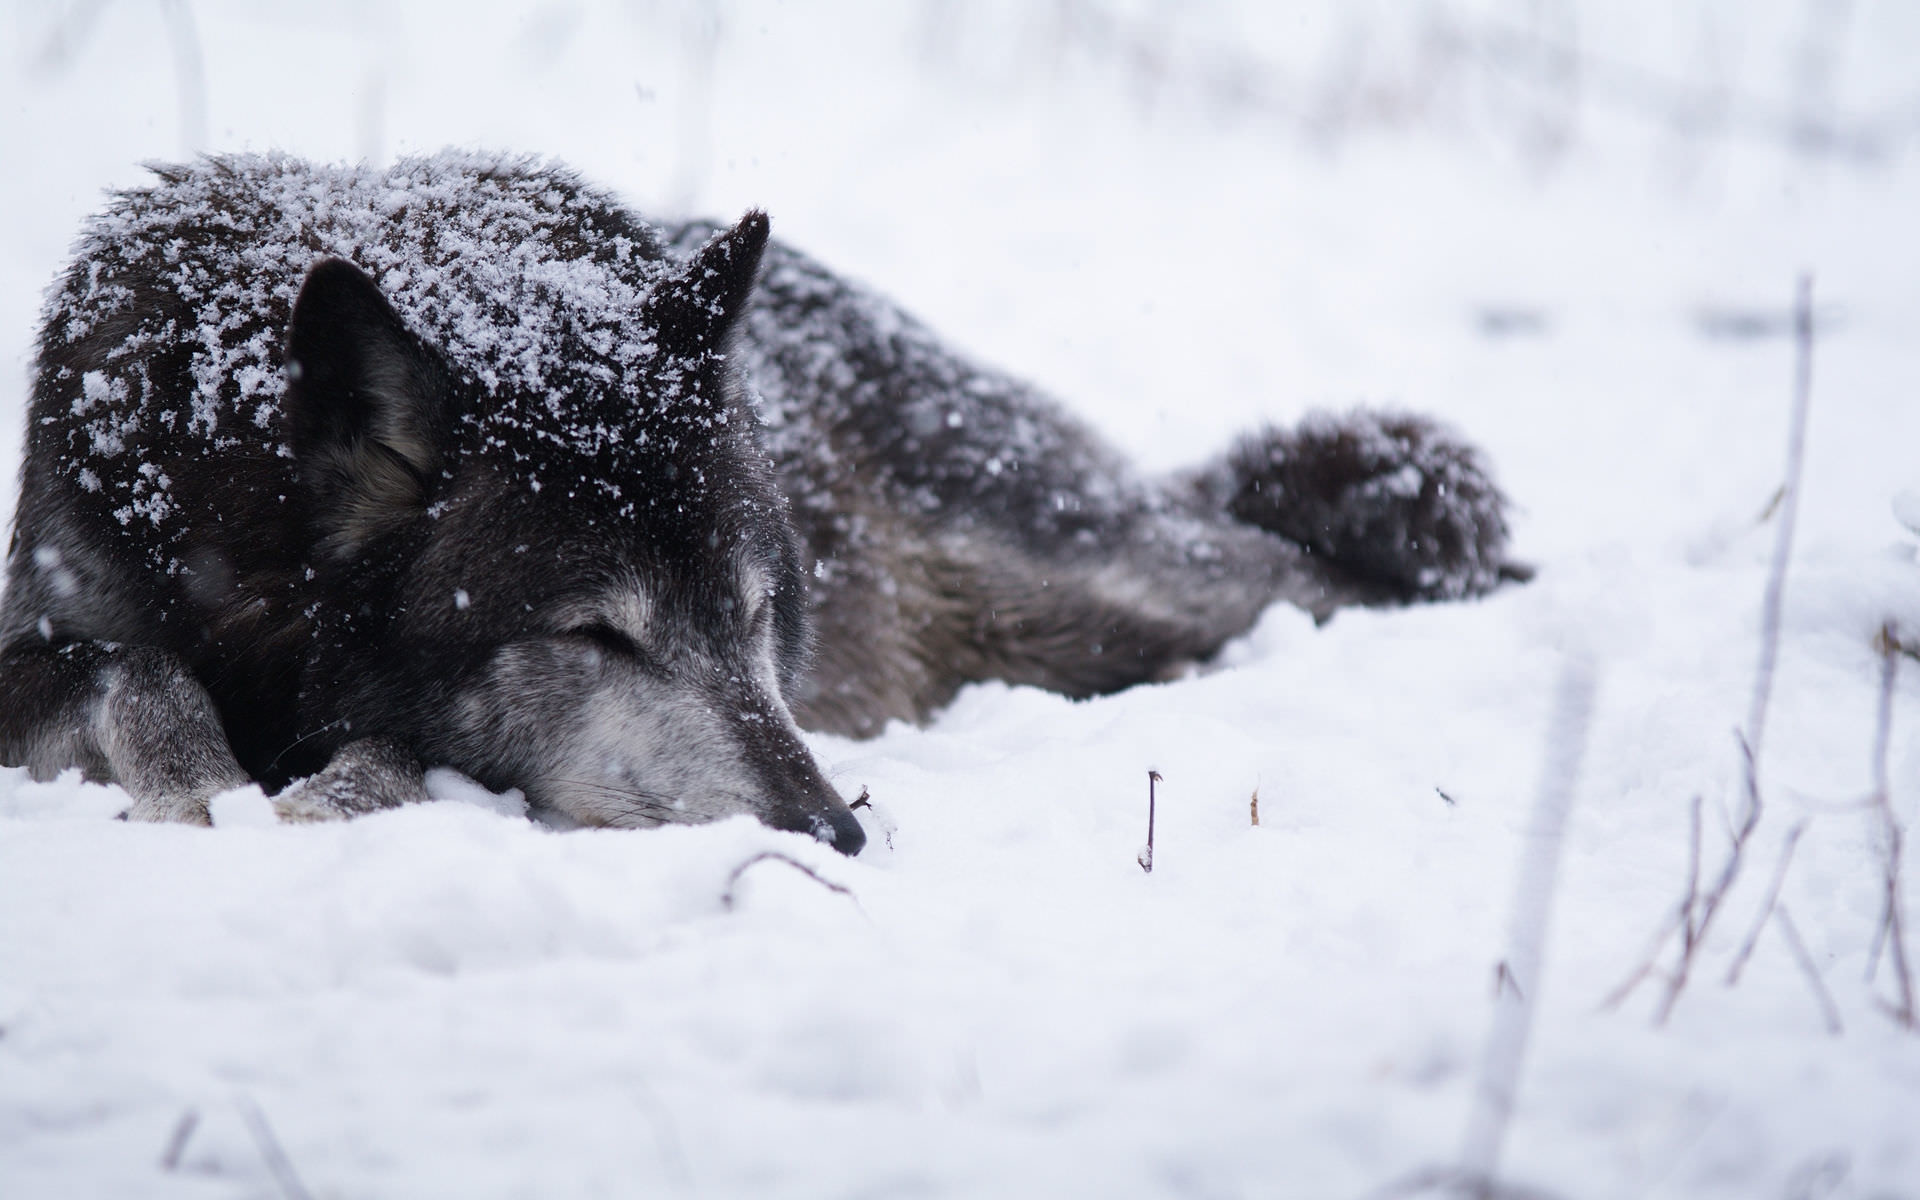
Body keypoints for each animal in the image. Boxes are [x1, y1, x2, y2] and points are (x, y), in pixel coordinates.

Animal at [0, 154, 1516, 854]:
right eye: (596, 636)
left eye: (753, 615)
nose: (837, 834)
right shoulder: (57, 614)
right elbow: (128, 663)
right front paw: (206, 782)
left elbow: (380, 749)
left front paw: (314, 796)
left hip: (1104, 585)